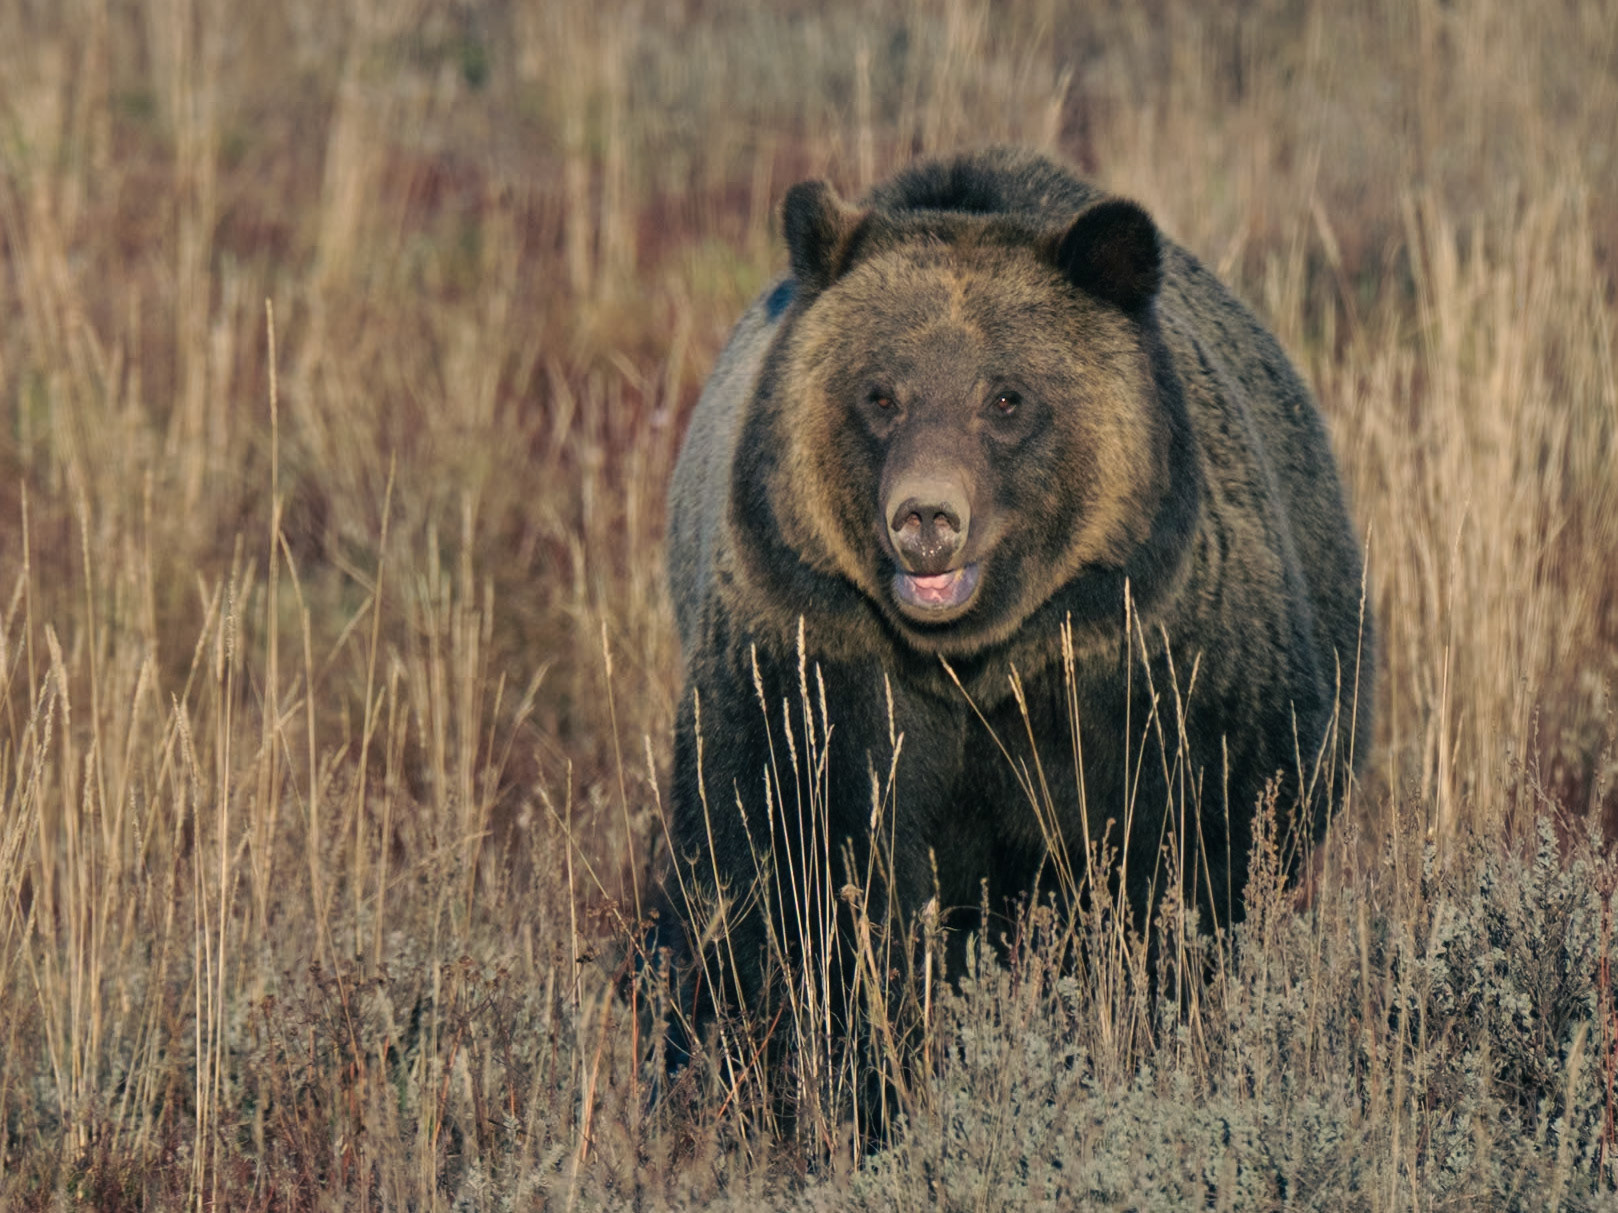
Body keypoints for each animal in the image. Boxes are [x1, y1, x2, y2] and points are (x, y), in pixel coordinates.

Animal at [658, 147, 1372, 1059]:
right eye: (880, 393)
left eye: (1006, 398)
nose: (927, 518)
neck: (973, 656)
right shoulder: (818, 653)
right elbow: (800, 850)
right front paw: (857, 1038)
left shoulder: (1141, 661)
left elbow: (1186, 855)